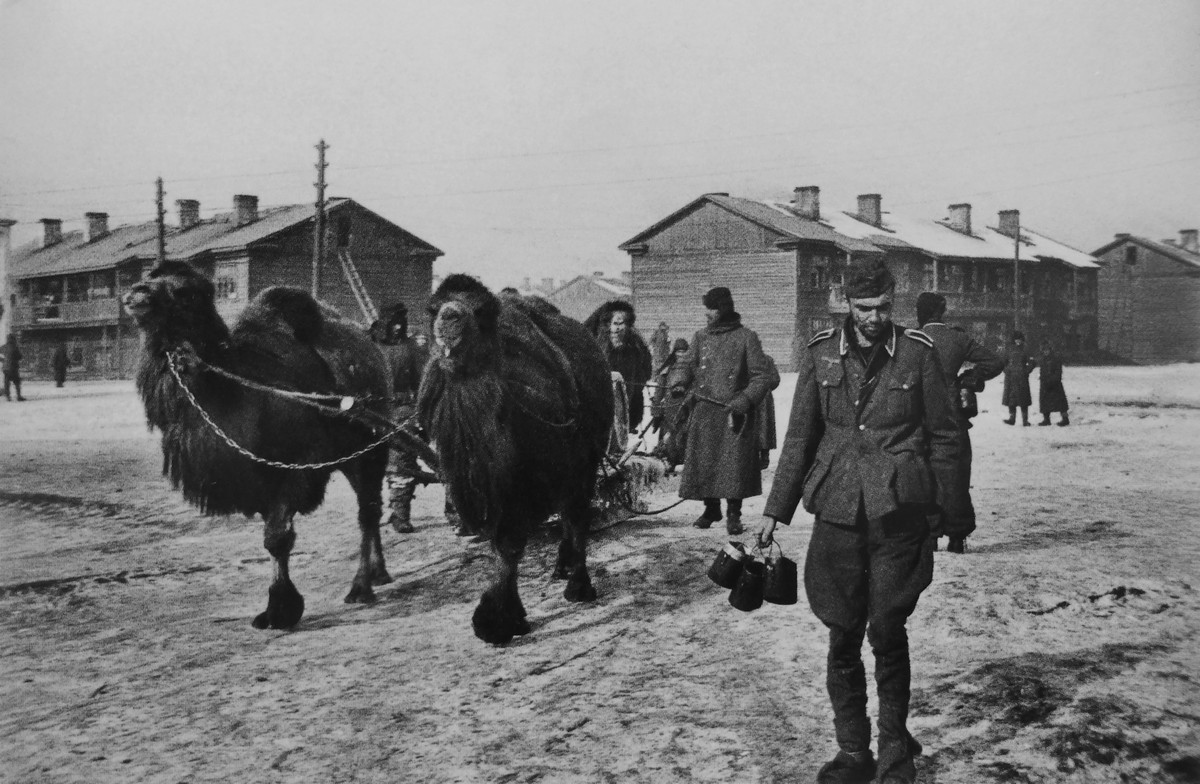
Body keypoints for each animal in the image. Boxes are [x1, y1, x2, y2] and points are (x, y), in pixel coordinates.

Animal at [123, 262, 393, 629]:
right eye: (148, 276)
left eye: (184, 292)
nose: (137, 294)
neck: (234, 390)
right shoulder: (256, 476)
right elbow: (271, 537)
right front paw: (275, 608)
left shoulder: (297, 466)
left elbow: (278, 538)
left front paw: (280, 608)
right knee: (371, 508)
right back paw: (379, 573)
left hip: (372, 449)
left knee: (368, 511)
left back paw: (361, 587)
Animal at [420, 274, 609, 643]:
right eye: (433, 307)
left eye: (479, 311)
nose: (448, 317)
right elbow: (500, 541)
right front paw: (505, 616)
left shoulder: (530, 478)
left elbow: (510, 542)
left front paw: (496, 621)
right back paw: (563, 566)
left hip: (586, 458)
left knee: (577, 514)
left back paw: (578, 584)